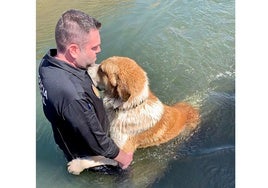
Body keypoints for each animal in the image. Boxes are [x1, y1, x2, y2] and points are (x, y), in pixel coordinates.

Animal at [68, 55, 200, 175]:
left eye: (102, 70)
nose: (86, 66)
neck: (128, 108)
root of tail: (193, 108)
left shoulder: (124, 155)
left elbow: (100, 158)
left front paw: (76, 165)